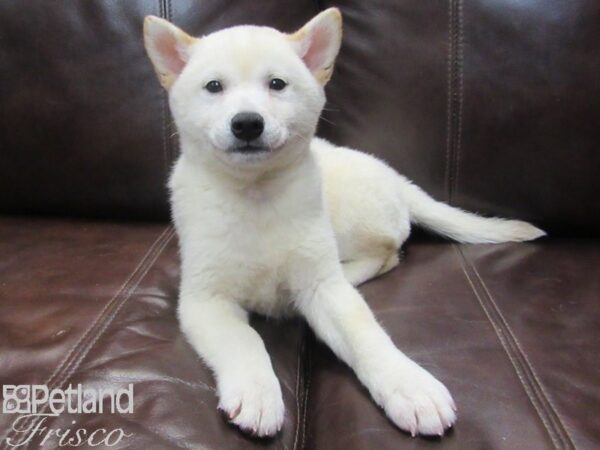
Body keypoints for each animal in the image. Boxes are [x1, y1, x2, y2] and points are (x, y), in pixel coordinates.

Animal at [143, 8, 548, 440]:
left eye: (277, 84)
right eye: (214, 86)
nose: (247, 123)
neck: (255, 196)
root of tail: (399, 182)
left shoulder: (324, 287)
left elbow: (366, 335)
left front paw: (409, 385)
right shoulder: (205, 298)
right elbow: (244, 340)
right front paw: (257, 392)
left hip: (352, 219)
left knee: (387, 254)